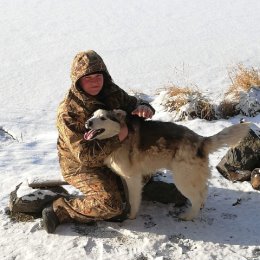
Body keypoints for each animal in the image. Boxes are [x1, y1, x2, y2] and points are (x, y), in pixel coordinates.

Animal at [84, 108, 250, 220]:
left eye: (103, 118)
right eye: (92, 115)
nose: (87, 122)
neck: (118, 137)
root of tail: (200, 140)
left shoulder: (133, 178)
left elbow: (133, 199)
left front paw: (131, 216)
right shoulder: (125, 178)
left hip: (182, 180)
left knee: (196, 197)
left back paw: (188, 216)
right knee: (203, 191)